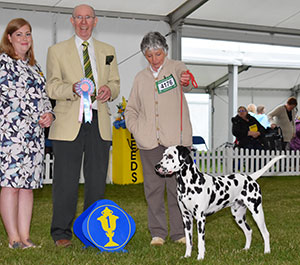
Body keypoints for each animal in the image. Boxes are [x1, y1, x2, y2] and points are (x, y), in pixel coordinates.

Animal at [156, 145, 284, 258]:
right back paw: (246, 249)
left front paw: (200, 257)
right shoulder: (186, 218)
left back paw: (267, 252)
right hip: (238, 216)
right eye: (163, 155)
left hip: (257, 212)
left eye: (170, 156)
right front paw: (187, 256)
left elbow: (201, 242)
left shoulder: (200, 219)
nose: (157, 166)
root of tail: (250, 178)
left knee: (265, 233)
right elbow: (189, 241)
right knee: (249, 231)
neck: (188, 184)